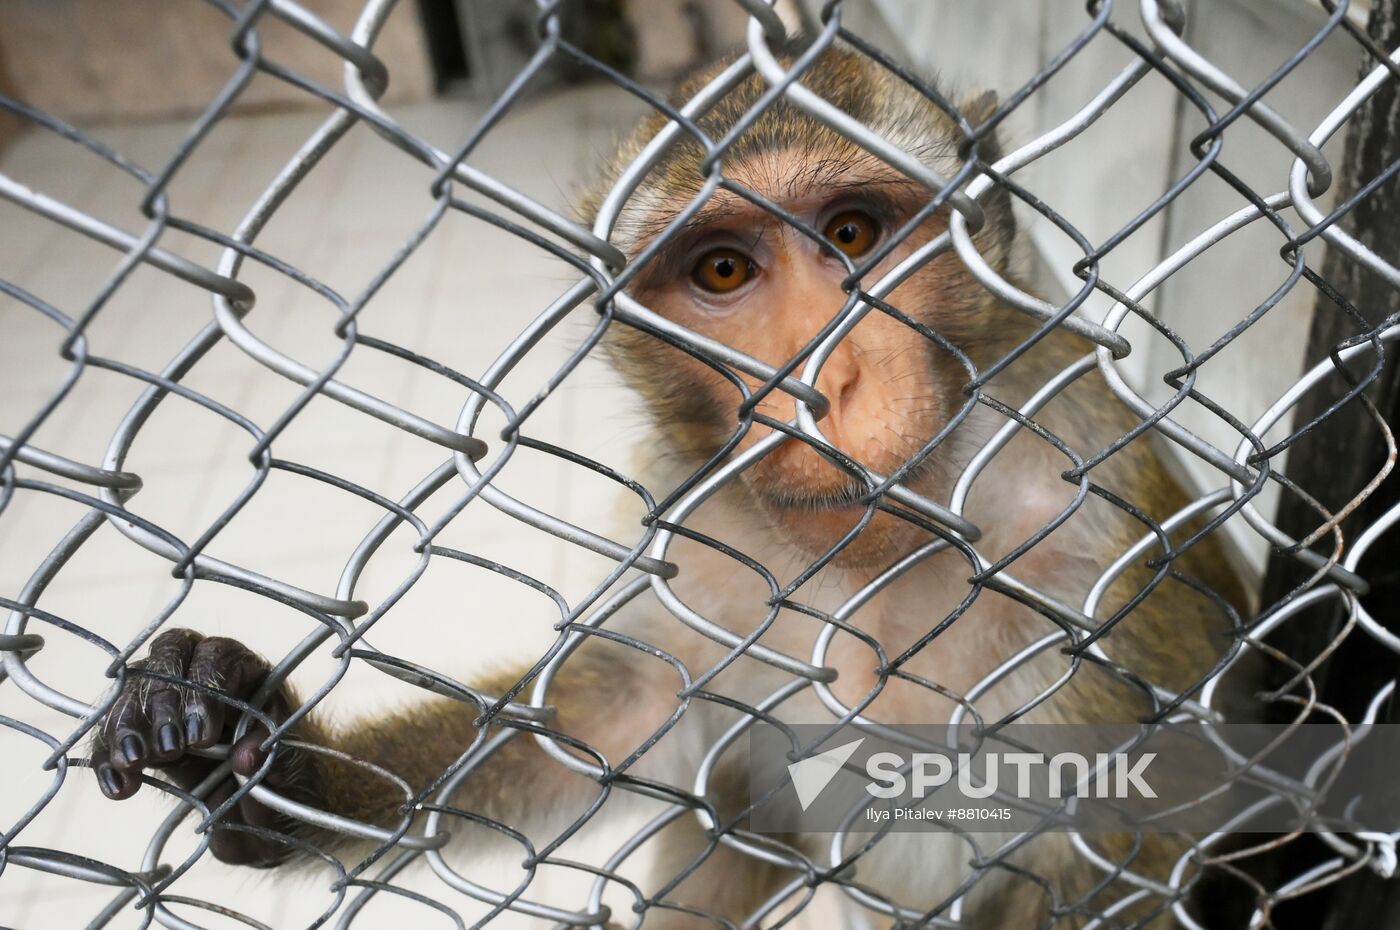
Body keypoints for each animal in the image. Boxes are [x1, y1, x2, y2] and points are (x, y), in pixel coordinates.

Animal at [90, 43, 1248, 930]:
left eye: (853, 234)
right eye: (723, 271)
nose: (821, 385)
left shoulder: (1097, 532)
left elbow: (1134, 847)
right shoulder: (691, 545)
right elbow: (601, 730)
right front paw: (254, 756)